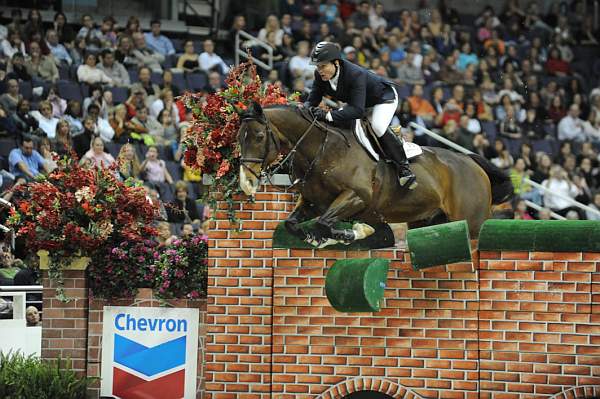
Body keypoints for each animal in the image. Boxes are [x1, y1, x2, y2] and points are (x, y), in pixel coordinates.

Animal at [238, 103, 510, 247]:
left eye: (259, 137)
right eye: (239, 137)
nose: (247, 182)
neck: (323, 150)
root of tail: (471, 161)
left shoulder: (356, 197)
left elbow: (325, 223)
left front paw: (356, 232)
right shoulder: (313, 202)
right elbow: (293, 224)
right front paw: (316, 239)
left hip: (472, 223)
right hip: (427, 220)